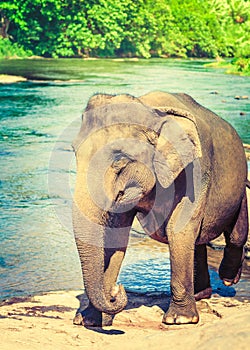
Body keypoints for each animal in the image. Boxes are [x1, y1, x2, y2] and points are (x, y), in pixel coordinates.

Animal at [72, 91, 248, 326]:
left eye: (120, 160)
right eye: (74, 152)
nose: (117, 291)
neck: (151, 109)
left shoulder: (196, 171)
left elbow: (178, 229)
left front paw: (180, 320)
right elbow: (116, 233)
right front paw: (88, 320)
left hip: (240, 183)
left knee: (236, 233)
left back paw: (228, 279)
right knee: (199, 241)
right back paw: (201, 294)